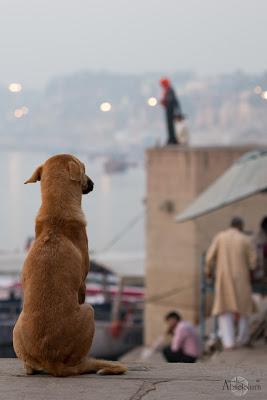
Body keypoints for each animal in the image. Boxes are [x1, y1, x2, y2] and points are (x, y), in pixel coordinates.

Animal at [13, 155, 127, 376]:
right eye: (84, 169)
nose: (93, 184)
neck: (55, 216)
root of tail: (52, 362)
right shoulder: (82, 284)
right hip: (89, 311)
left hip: (17, 325)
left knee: (29, 368)